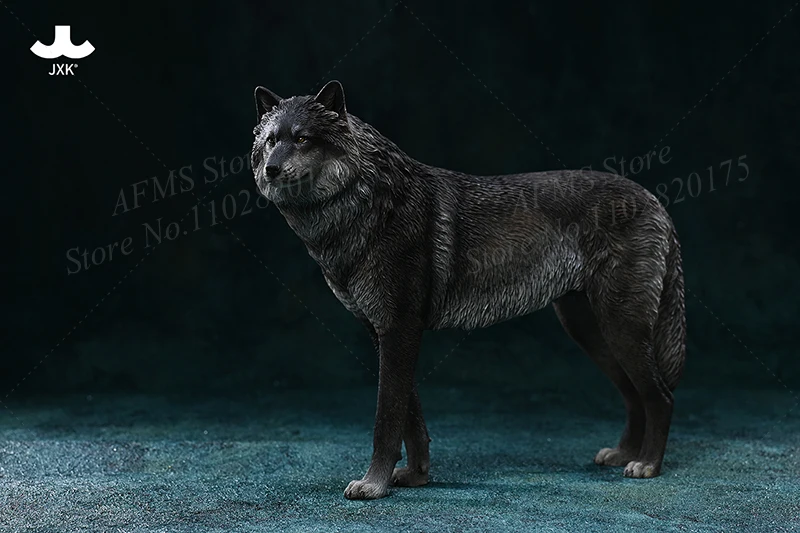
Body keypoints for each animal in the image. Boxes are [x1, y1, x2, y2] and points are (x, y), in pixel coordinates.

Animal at [250, 80, 686, 500]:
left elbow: (387, 419)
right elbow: (411, 418)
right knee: (634, 394)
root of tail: (654, 200)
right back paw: (624, 454)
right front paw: (415, 476)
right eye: (271, 140)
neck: (368, 205)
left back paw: (647, 464)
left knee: (660, 396)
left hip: (619, 328)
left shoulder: (399, 330)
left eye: (303, 138)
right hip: (590, 332)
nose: (270, 170)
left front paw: (374, 486)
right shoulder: (381, 332)